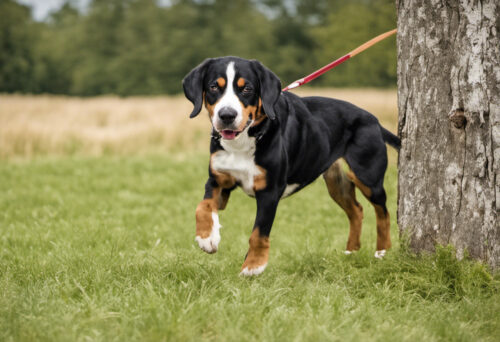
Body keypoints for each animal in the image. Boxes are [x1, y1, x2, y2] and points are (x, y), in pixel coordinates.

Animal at [182, 56, 400, 276]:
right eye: (213, 87)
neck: (242, 144)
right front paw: (207, 238)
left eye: (247, 89)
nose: (227, 115)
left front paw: (253, 266)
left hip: (367, 176)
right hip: (337, 182)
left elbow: (259, 233)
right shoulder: (218, 180)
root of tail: (374, 120)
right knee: (356, 210)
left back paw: (382, 252)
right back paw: (351, 253)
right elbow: (202, 206)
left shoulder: (269, 191)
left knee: (383, 213)